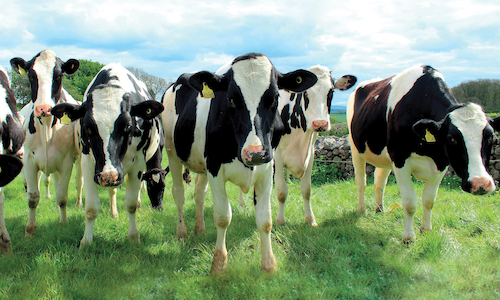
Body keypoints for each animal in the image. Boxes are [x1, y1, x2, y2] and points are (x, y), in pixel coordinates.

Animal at [10, 49, 83, 237]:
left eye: (58, 75)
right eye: (31, 76)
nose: (43, 109)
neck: (47, 129)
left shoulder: (66, 161)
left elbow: (63, 196)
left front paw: (63, 223)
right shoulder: (28, 159)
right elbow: (33, 197)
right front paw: (30, 229)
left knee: (78, 182)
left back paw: (78, 203)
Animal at [51, 63, 164, 246]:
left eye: (127, 125)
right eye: (88, 127)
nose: (108, 176)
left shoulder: (139, 164)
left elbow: (131, 203)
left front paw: (134, 237)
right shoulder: (89, 163)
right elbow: (91, 207)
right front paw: (86, 241)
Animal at [160, 52, 316, 274]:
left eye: (275, 98)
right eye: (231, 99)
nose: (255, 153)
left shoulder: (267, 169)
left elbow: (265, 220)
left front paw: (269, 264)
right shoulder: (215, 168)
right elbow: (223, 216)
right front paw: (219, 264)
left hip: (201, 165)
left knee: (199, 194)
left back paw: (200, 228)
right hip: (172, 152)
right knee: (179, 193)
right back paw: (182, 232)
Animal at [348, 64, 500, 243]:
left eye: (491, 137)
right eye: (452, 138)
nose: (480, 183)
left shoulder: (441, 162)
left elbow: (429, 200)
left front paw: (426, 229)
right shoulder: (400, 159)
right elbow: (410, 202)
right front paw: (408, 237)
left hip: (384, 155)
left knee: (379, 181)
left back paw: (379, 209)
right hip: (356, 148)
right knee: (361, 182)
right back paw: (361, 209)